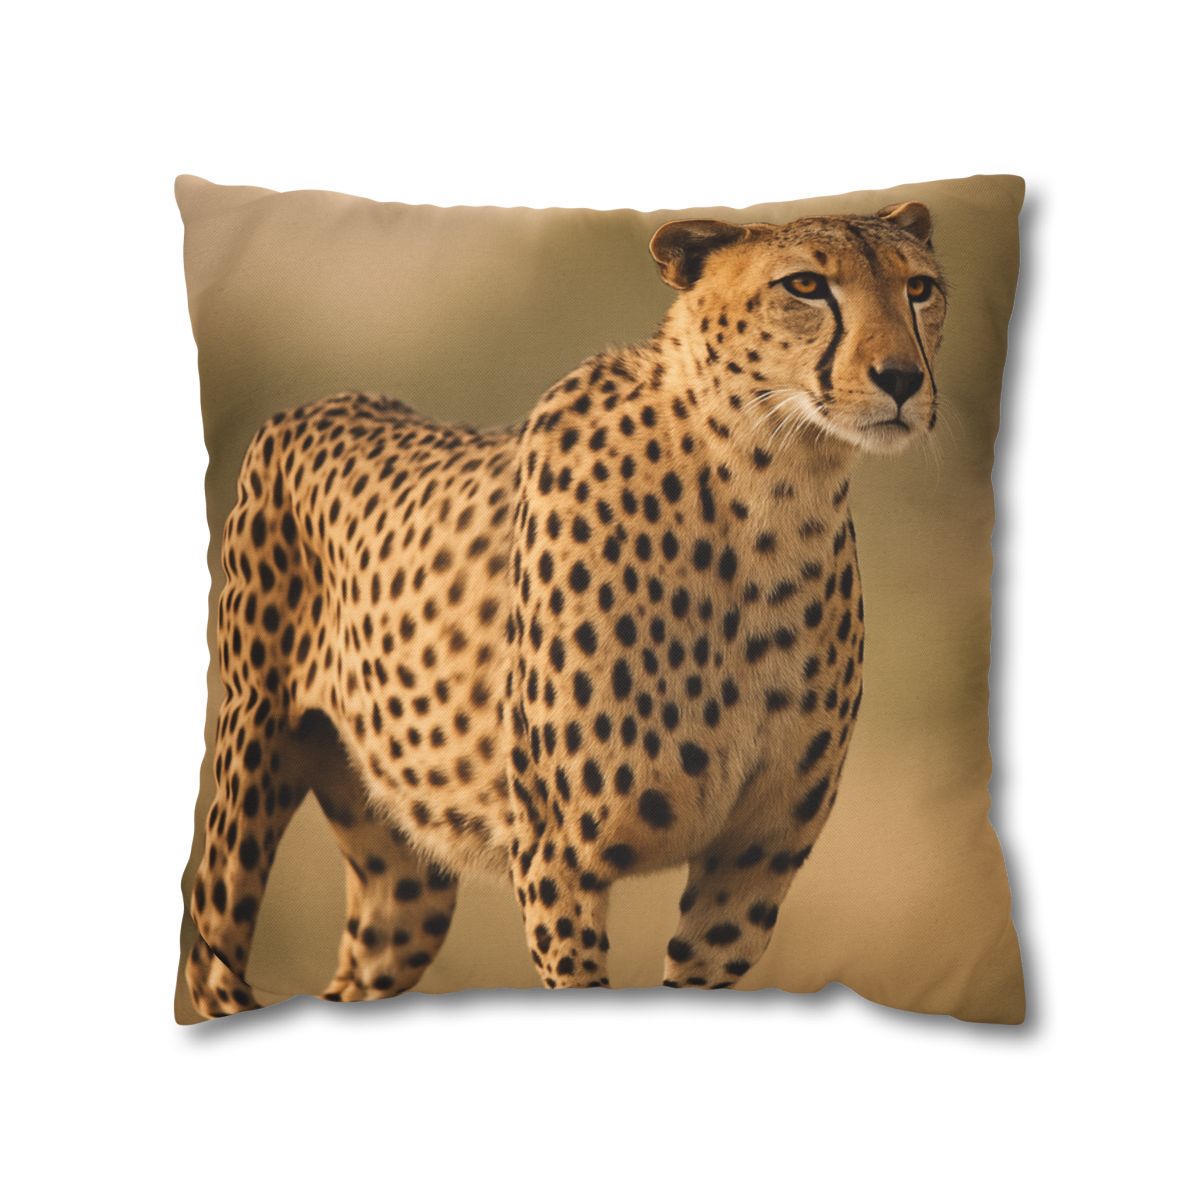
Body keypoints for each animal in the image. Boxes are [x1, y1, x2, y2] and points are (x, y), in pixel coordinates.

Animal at [185, 200, 947, 1016]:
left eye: (920, 288)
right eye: (804, 285)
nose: (902, 378)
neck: (771, 490)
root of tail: (321, 401)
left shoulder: (751, 863)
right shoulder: (560, 857)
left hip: (405, 879)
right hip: (251, 760)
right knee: (211, 960)